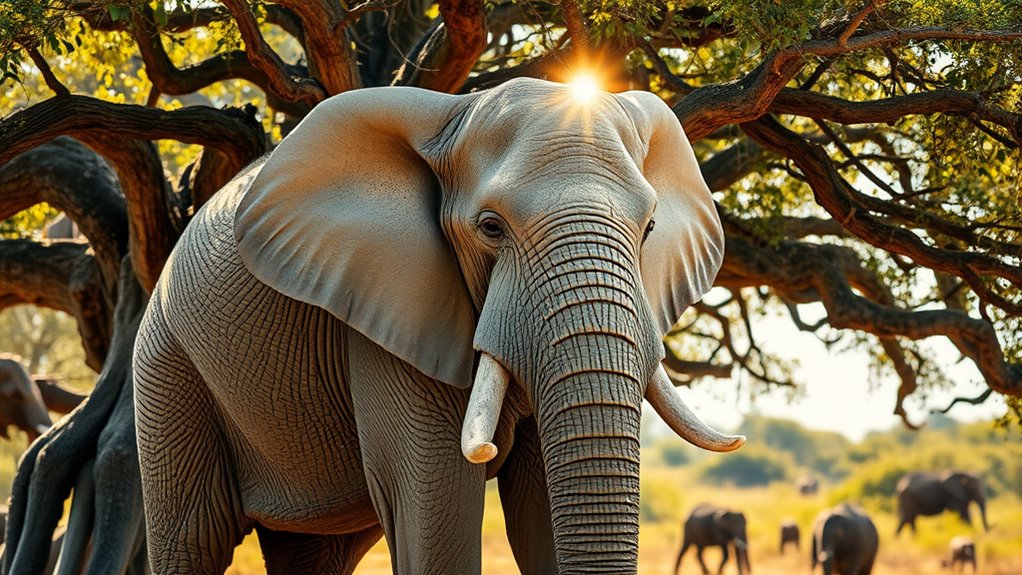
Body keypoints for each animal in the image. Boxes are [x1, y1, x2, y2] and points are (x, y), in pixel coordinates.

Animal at [132, 77, 745, 574]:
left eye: (649, 229)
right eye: (491, 228)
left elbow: (538, 507)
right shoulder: (387, 310)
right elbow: (437, 498)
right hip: (167, 363)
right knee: (193, 536)